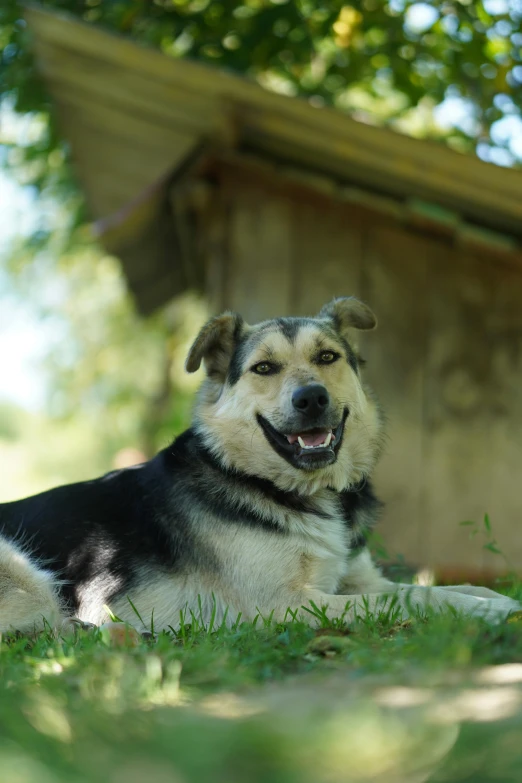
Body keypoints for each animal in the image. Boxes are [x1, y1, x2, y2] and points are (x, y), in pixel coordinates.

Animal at [0, 298, 516, 632]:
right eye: (264, 368)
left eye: (327, 357)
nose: (311, 398)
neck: (301, 490)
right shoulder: (281, 604)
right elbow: (419, 593)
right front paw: (484, 611)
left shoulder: (357, 579)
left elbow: (445, 586)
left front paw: (495, 598)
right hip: (26, 577)